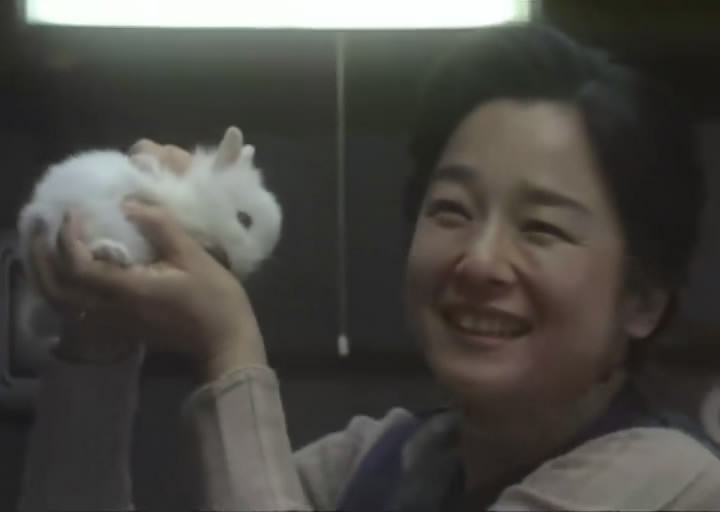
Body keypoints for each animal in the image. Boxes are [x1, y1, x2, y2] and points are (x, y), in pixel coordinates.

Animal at [17, 126, 282, 286]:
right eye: (244, 218)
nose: (233, 265)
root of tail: (37, 210)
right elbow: (149, 186)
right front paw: (139, 171)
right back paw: (114, 252)